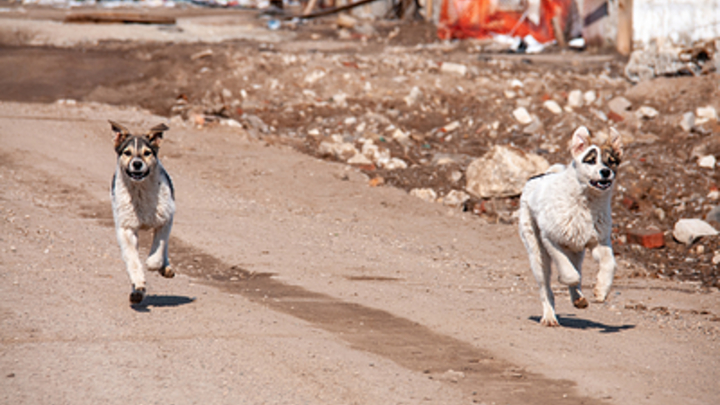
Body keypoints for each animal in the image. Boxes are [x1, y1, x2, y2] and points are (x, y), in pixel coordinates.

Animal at [110, 120, 176, 304]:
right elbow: (132, 259)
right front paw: (139, 284)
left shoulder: (166, 219)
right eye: (127, 153)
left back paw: (165, 268)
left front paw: (155, 264)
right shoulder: (126, 228)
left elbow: (158, 251)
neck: (140, 191)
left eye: (147, 153)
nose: (137, 163)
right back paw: (137, 293)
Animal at [516, 126, 624, 326]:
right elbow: (569, 272)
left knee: (576, 267)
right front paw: (565, 279)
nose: (606, 172)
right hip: (537, 253)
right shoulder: (550, 240)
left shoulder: (600, 242)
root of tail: (541, 176)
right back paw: (549, 316)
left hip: (577, 250)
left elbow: (609, 264)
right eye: (590, 160)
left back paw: (578, 298)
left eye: (611, 161)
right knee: (546, 288)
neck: (586, 202)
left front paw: (601, 290)